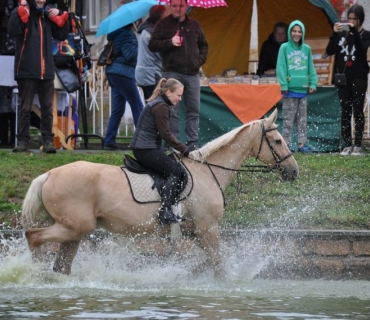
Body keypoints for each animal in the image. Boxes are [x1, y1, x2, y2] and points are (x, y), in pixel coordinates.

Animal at [21, 109, 300, 276]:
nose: (293, 171)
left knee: (61, 263)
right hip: (75, 226)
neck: (207, 171)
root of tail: (49, 174)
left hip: (74, 231)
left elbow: (206, 263)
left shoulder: (197, 233)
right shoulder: (208, 229)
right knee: (33, 236)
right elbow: (217, 265)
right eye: (277, 141)